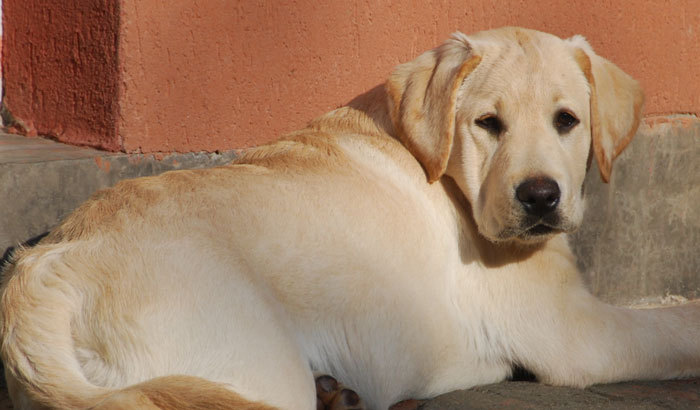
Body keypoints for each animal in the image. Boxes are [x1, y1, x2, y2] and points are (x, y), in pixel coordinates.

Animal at [1, 27, 700, 408]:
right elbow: (679, 326)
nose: (539, 197)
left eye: (567, 121)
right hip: (260, 369)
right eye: (488, 124)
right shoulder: (576, 332)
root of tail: (46, 267)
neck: (446, 172)